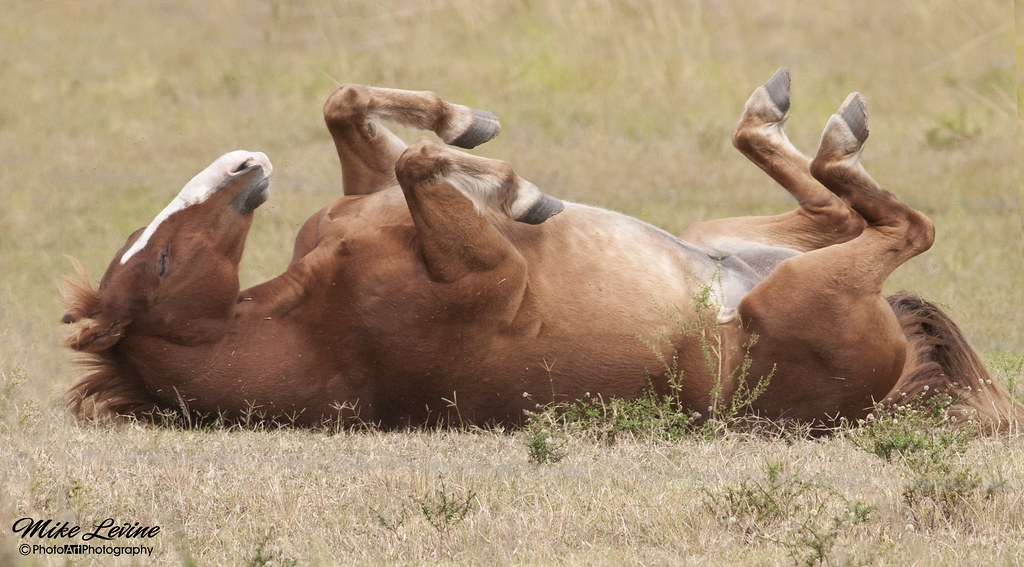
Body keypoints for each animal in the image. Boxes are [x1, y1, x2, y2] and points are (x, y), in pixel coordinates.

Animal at [61, 68, 1022, 431]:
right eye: (160, 264)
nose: (245, 165)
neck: (311, 318)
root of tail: (892, 385)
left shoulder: (360, 197)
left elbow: (353, 111)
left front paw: (469, 127)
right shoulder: (493, 272)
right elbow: (419, 162)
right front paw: (514, 188)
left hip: (729, 240)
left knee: (828, 204)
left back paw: (775, 111)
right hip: (796, 295)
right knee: (894, 223)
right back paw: (827, 136)